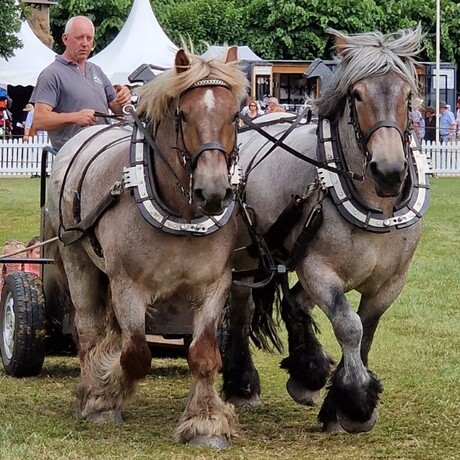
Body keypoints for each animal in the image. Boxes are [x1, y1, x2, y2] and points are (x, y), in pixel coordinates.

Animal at [45, 48, 250, 448]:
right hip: (77, 260)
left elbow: (202, 353)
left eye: (235, 115)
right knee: (88, 329)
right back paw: (91, 389)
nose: (214, 192)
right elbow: (136, 354)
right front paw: (104, 392)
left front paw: (205, 422)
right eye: (183, 115)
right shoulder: (127, 286)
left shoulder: (215, 285)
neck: (180, 213)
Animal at [223, 27, 432, 434]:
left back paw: (307, 372)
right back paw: (242, 384)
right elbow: (349, 326)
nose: (389, 171)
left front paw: (338, 403)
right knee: (242, 309)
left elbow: (366, 333)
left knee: (294, 303)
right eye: (357, 95)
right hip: (248, 259)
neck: (376, 205)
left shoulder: (389, 283)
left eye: (407, 94)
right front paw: (355, 403)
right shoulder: (320, 270)